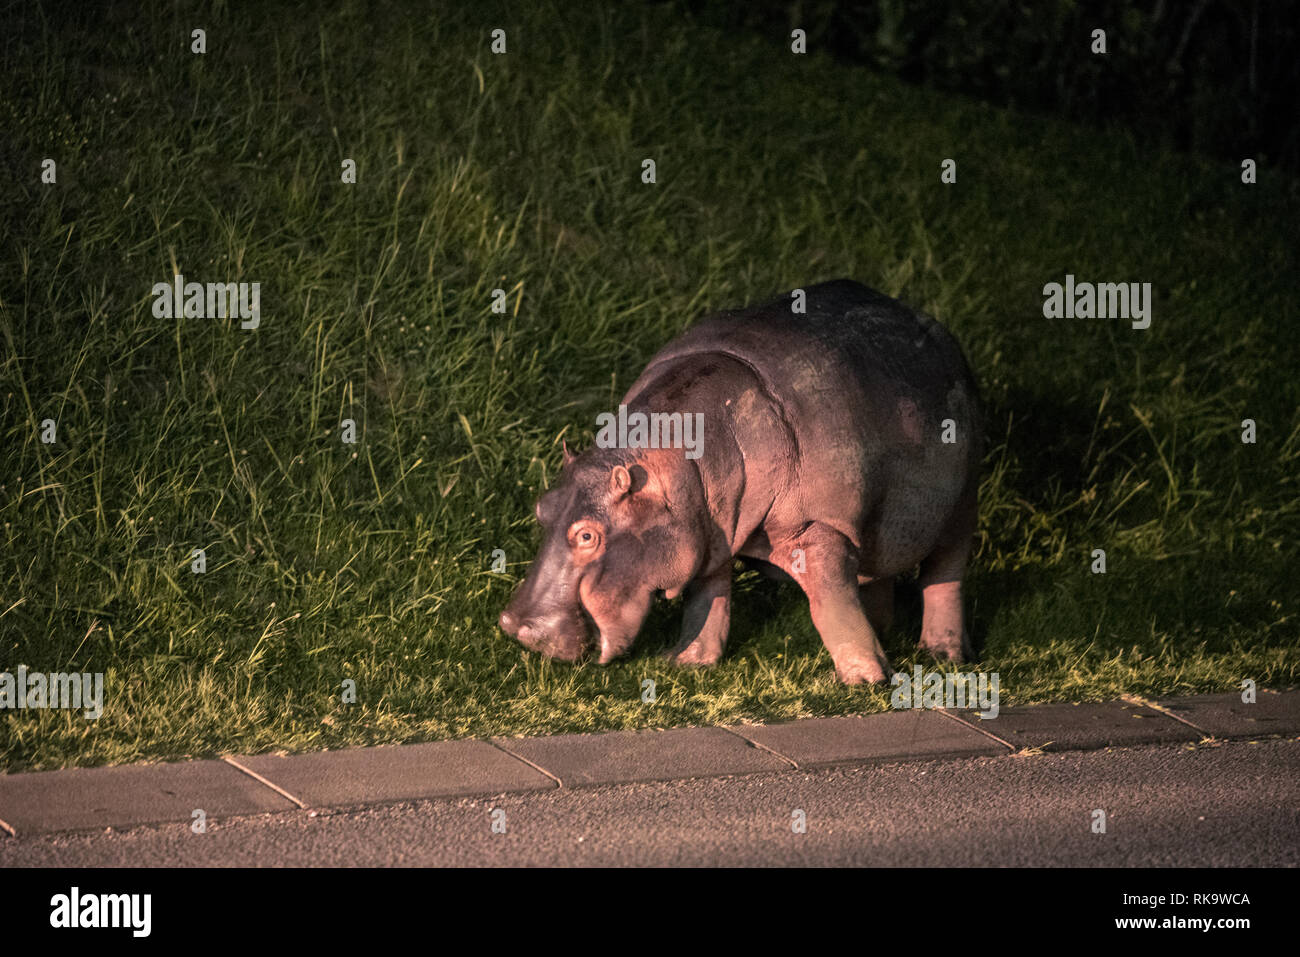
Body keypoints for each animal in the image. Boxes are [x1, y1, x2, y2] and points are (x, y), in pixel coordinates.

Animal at [498, 279, 982, 684]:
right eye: (542, 508)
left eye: (587, 535)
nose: (515, 626)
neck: (678, 463)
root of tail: (932, 324)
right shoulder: (708, 530)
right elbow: (707, 599)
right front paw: (687, 663)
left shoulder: (816, 527)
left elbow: (830, 604)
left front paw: (866, 682)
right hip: (873, 522)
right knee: (873, 573)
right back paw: (885, 632)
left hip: (962, 503)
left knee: (945, 574)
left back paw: (942, 654)